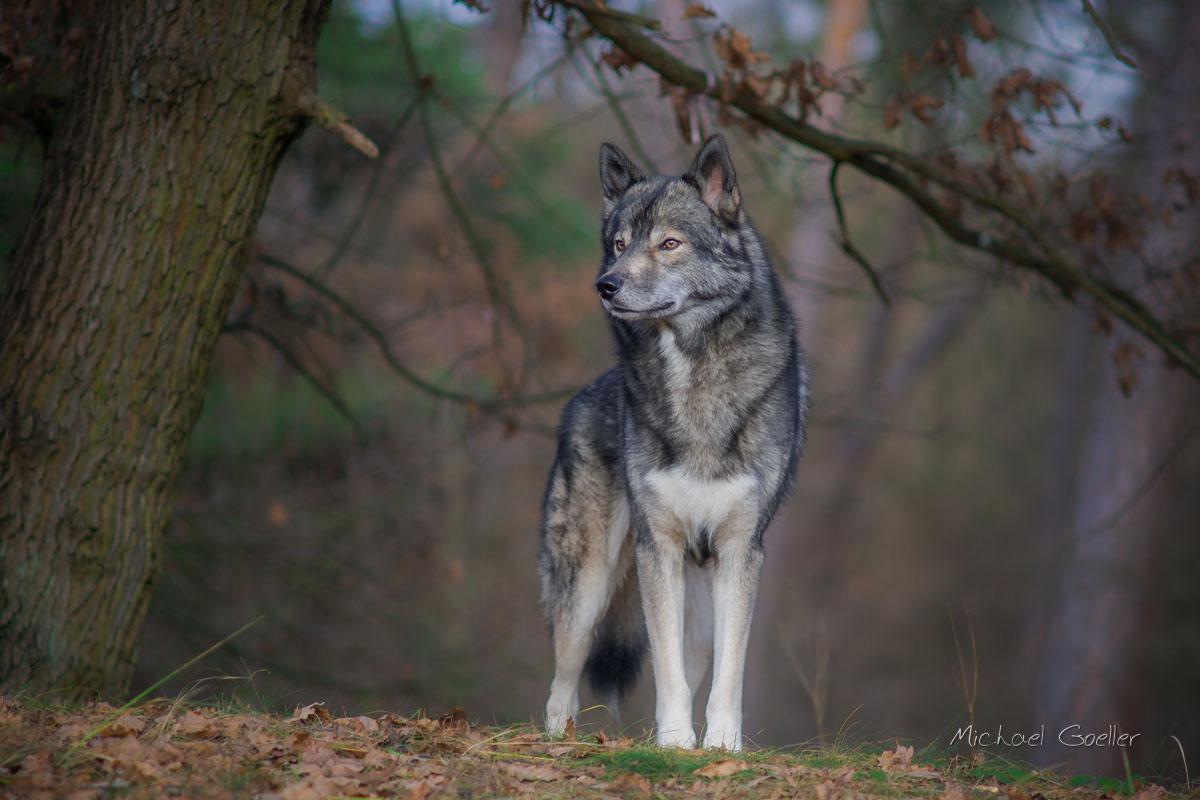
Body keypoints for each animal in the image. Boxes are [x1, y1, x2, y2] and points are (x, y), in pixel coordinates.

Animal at [540, 133, 811, 753]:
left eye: (669, 243)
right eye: (619, 245)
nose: (606, 285)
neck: (693, 378)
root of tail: (580, 398)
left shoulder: (740, 551)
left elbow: (728, 671)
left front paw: (721, 745)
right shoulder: (656, 548)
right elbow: (666, 668)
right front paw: (672, 742)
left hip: (700, 603)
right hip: (588, 581)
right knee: (562, 680)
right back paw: (558, 738)